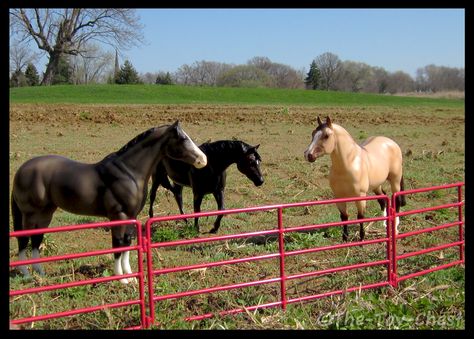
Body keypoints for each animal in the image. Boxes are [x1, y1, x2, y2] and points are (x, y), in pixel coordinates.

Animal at [10, 121, 207, 284]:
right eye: (182, 138)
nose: (202, 160)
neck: (128, 172)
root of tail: (21, 170)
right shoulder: (118, 215)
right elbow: (117, 244)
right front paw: (121, 278)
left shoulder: (131, 216)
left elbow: (127, 242)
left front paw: (130, 276)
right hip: (30, 214)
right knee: (23, 239)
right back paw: (26, 275)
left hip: (45, 213)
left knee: (36, 238)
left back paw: (40, 273)